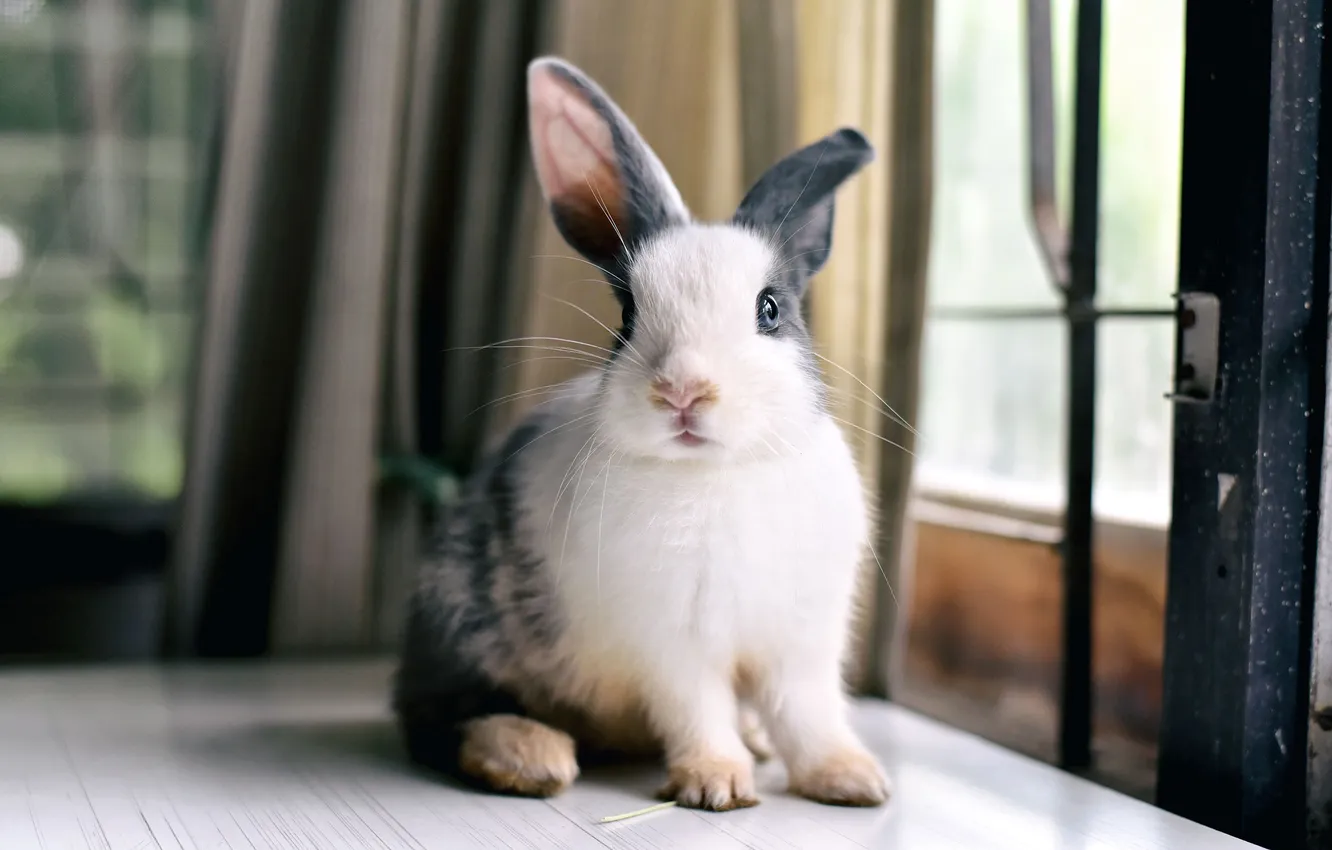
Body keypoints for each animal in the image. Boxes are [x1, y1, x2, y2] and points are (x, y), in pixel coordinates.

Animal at [393, 56, 888, 812]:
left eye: (770, 309)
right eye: (626, 315)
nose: (682, 391)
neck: (717, 473)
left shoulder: (801, 643)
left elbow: (809, 714)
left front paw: (853, 780)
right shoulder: (673, 644)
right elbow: (698, 710)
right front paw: (717, 784)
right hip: (460, 623)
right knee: (439, 718)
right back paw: (531, 755)